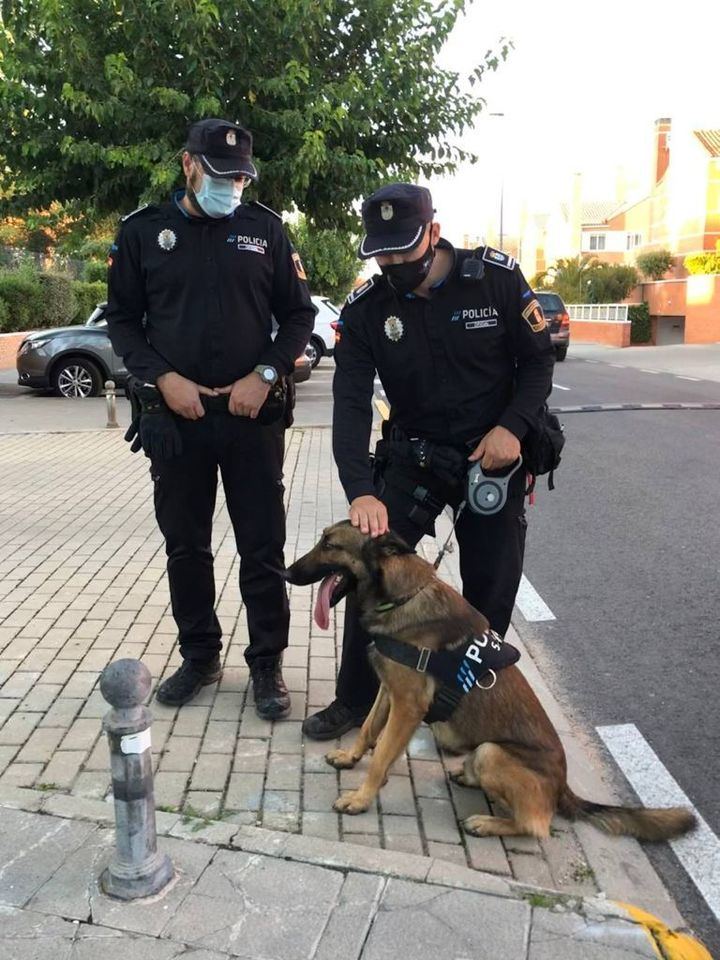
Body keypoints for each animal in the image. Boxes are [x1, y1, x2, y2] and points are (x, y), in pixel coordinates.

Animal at [284, 524, 696, 840]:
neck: (402, 597)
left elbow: (383, 754)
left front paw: (361, 798)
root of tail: (563, 787)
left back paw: (487, 821)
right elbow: (369, 728)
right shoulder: (389, 690)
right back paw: (468, 778)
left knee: (536, 826)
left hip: (492, 753)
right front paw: (351, 757)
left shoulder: (408, 708)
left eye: (331, 545)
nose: (286, 573)